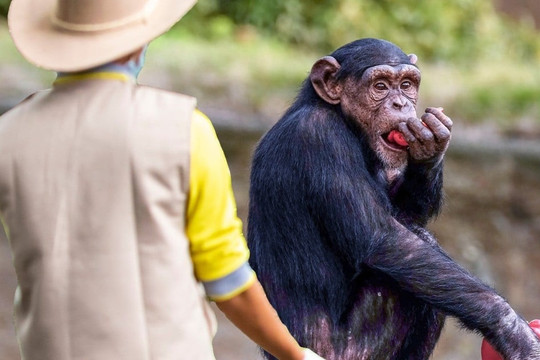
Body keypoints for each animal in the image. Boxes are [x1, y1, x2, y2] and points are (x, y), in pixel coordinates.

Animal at [247, 38, 540, 358]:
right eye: (381, 86)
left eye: (407, 85)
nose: (401, 103)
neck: (343, 121)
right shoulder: (320, 138)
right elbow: (381, 237)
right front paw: (511, 329)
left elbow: (405, 213)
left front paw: (430, 146)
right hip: (348, 350)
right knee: (407, 265)